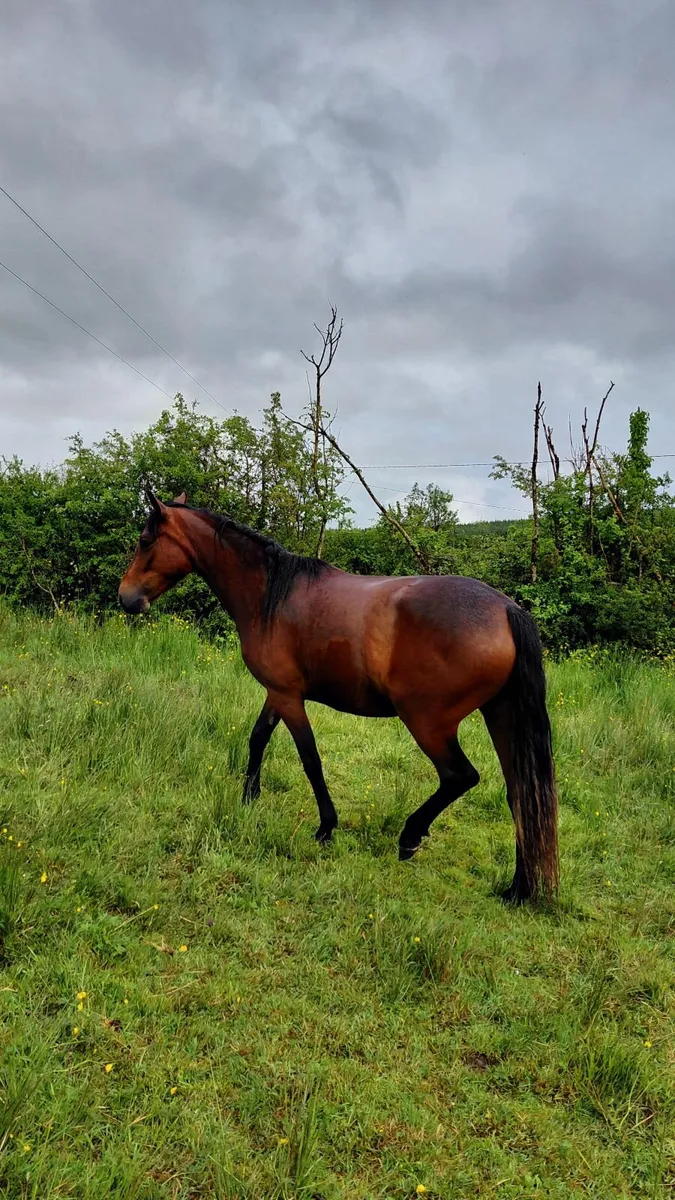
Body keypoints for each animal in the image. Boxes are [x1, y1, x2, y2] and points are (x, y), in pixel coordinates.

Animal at [118, 491, 559, 902]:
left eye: (145, 540)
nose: (126, 598)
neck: (271, 595)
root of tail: (506, 609)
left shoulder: (289, 697)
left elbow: (310, 760)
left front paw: (326, 826)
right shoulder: (277, 692)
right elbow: (258, 739)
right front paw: (249, 796)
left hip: (428, 723)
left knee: (460, 777)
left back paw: (410, 837)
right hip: (499, 716)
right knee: (522, 795)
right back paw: (517, 889)